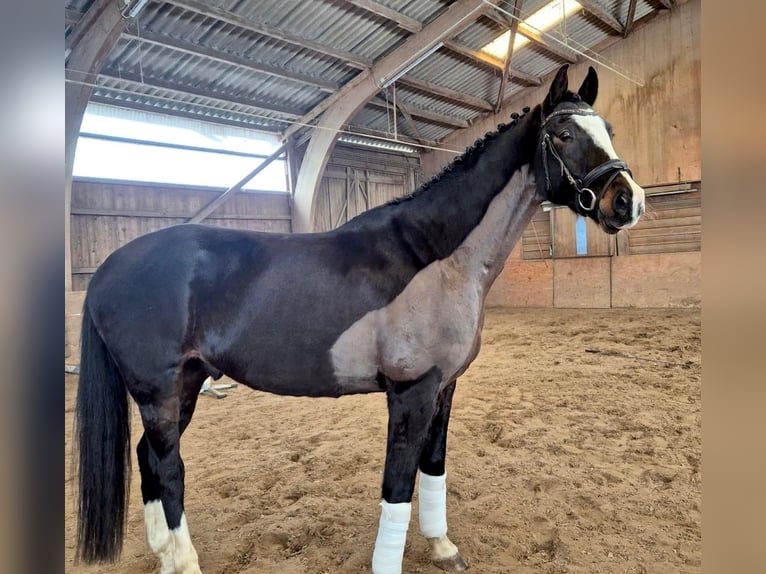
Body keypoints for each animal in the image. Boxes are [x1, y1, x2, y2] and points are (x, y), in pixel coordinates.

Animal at [74, 64, 645, 574]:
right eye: (564, 134)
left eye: (609, 131)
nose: (628, 201)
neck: (436, 258)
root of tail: (107, 270)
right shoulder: (411, 391)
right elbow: (397, 486)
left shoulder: (444, 388)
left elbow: (432, 468)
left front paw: (442, 548)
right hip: (159, 392)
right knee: (169, 469)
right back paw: (185, 562)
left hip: (187, 384)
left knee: (149, 459)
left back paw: (165, 558)